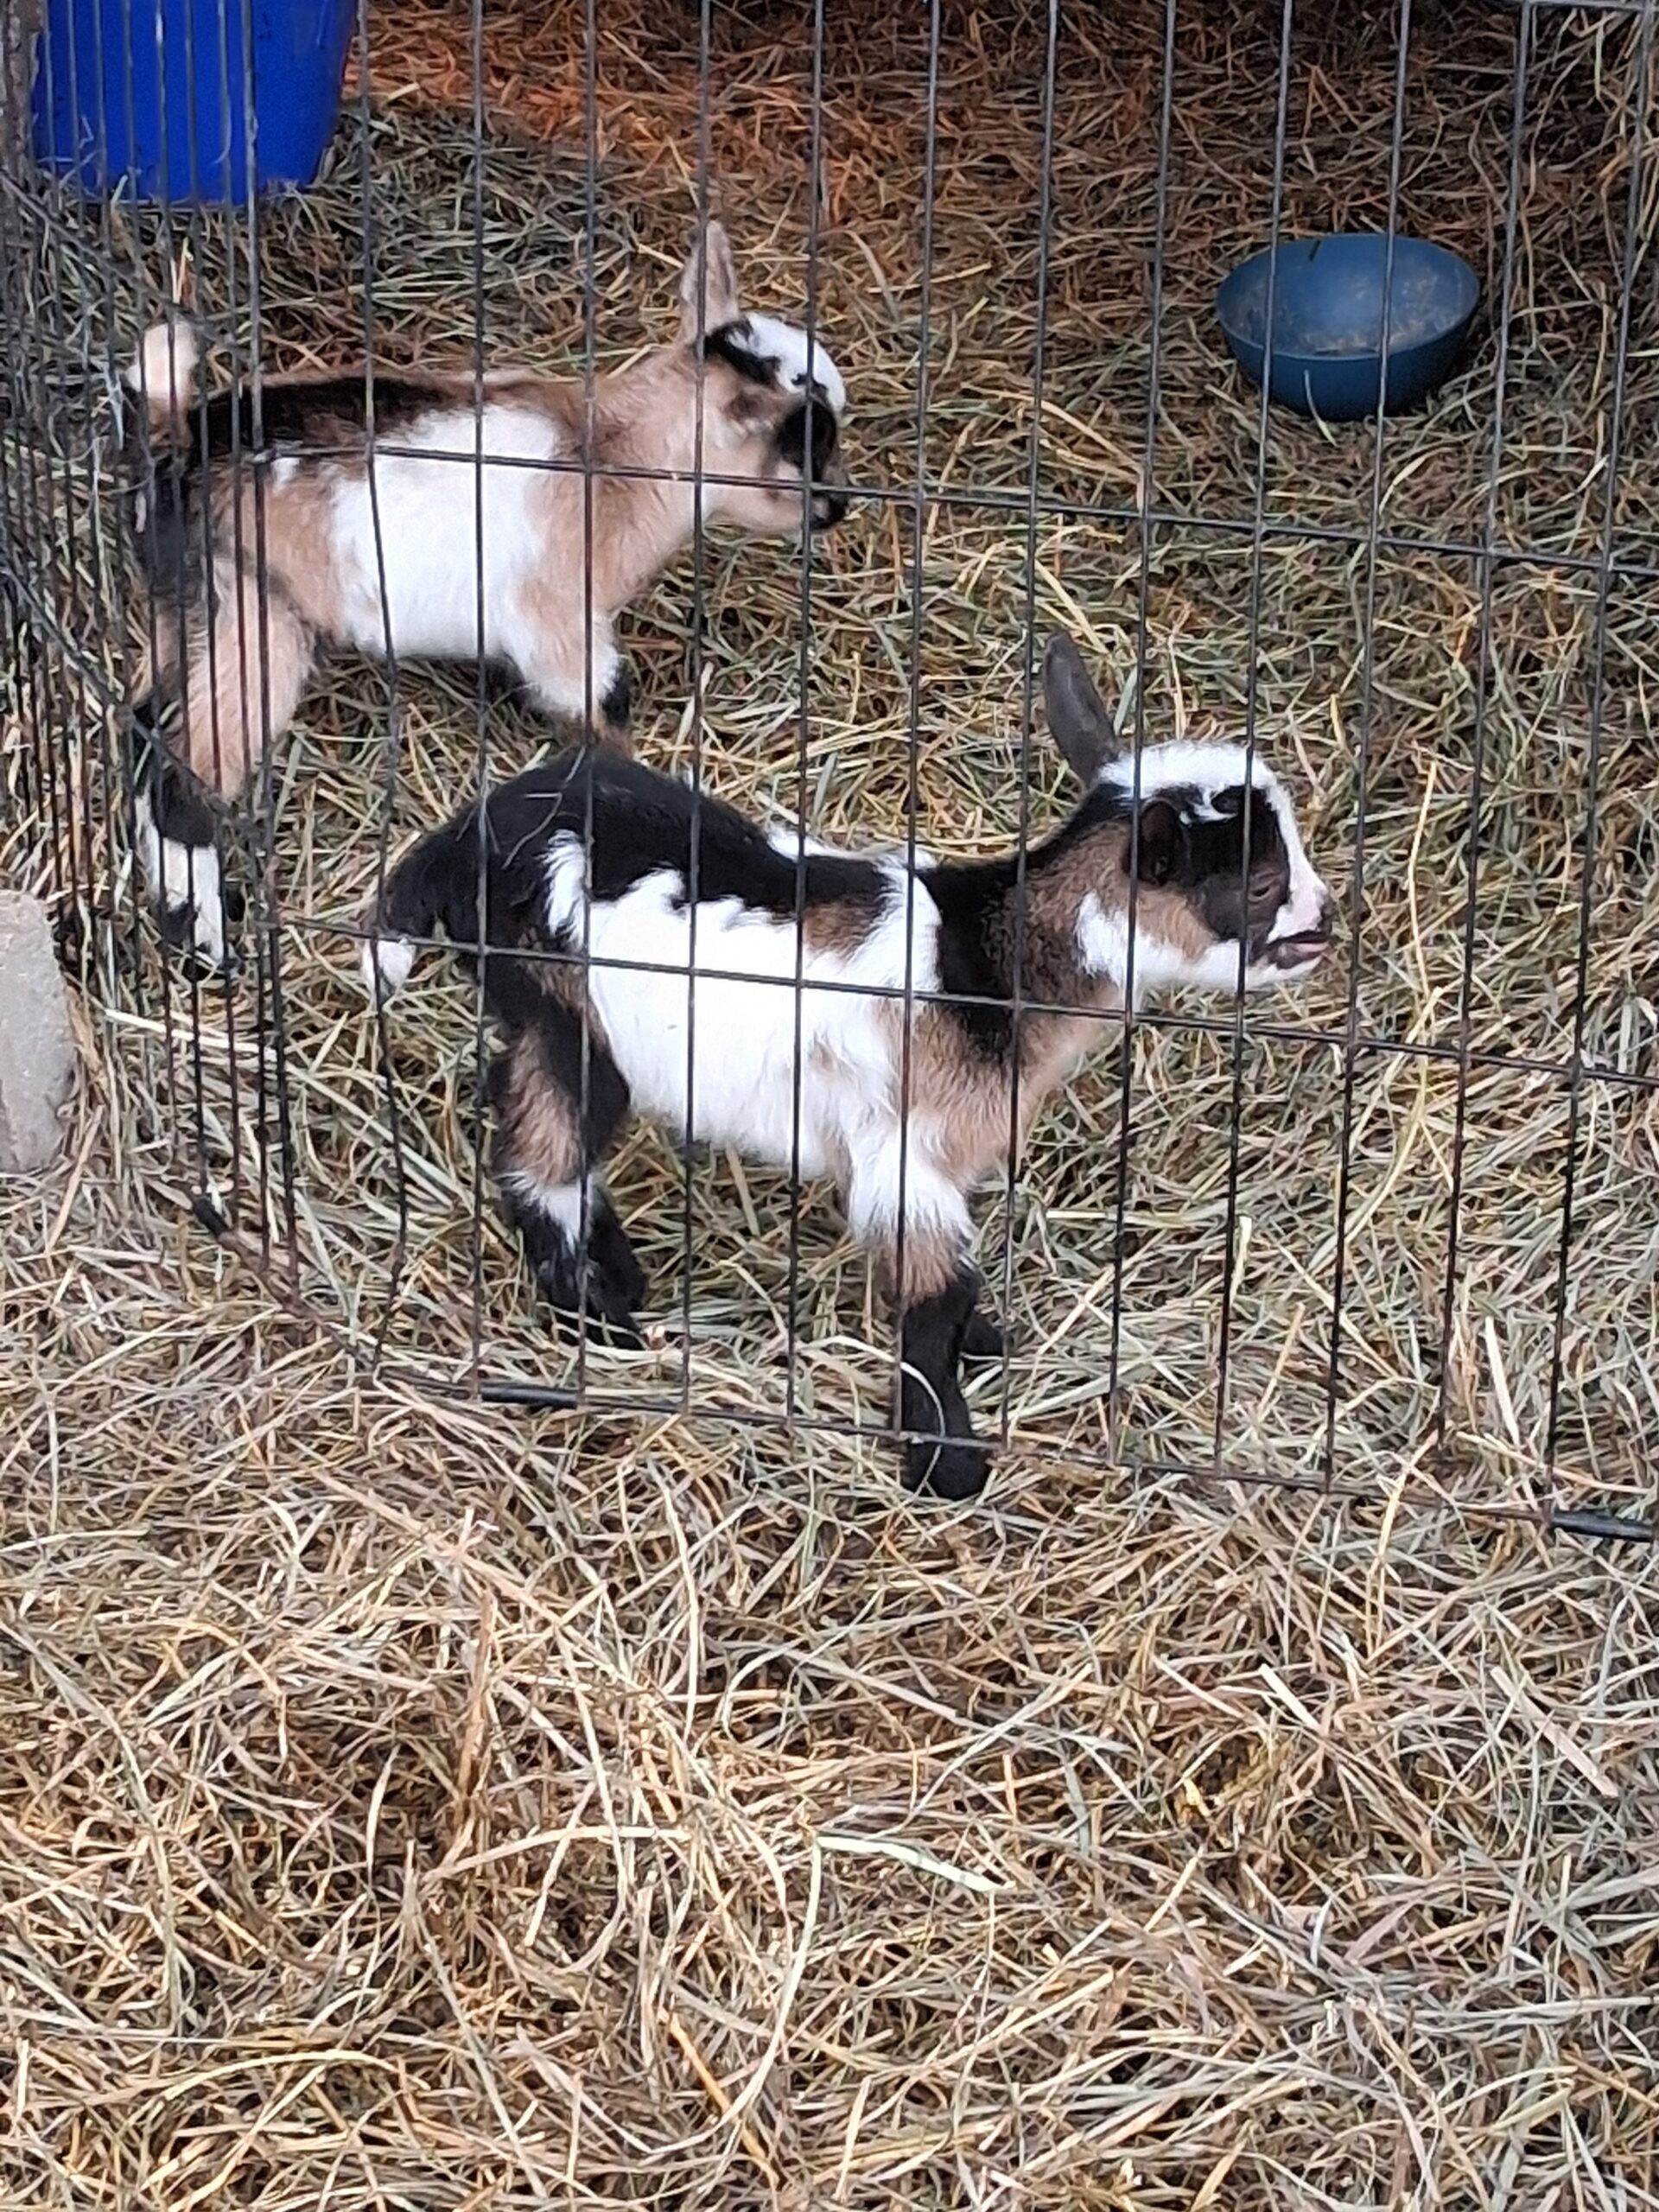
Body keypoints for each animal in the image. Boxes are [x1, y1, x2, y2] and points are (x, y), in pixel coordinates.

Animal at [120, 221, 850, 974]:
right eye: (803, 442)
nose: (840, 507)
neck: (614, 455)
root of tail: (176, 439)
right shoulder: (559, 622)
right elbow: (606, 709)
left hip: (185, 612)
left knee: (143, 730)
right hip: (252, 616)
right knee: (184, 774)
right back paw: (207, 940)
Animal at [363, 633, 1333, 1501]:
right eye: (1258, 885)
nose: (1324, 921)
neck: (987, 964)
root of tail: (459, 838)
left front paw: (985, 1343)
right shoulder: (909, 1158)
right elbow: (932, 1303)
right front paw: (948, 1464)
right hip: (567, 1014)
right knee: (541, 1155)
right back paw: (598, 1320)